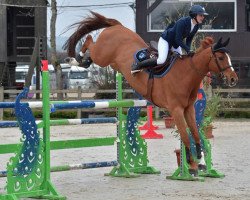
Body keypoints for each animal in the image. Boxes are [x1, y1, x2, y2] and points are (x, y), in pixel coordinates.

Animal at [63, 11, 237, 173]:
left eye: (228, 56)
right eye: (221, 58)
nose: (233, 79)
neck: (186, 73)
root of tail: (118, 26)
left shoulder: (188, 109)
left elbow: (195, 134)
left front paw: (200, 162)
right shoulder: (176, 110)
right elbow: (185, 137)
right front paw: (192, 166)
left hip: (111, 63)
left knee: (91, 52)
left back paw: (84, 61)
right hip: (103, 55)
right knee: (90, 42)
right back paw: (75, 59)